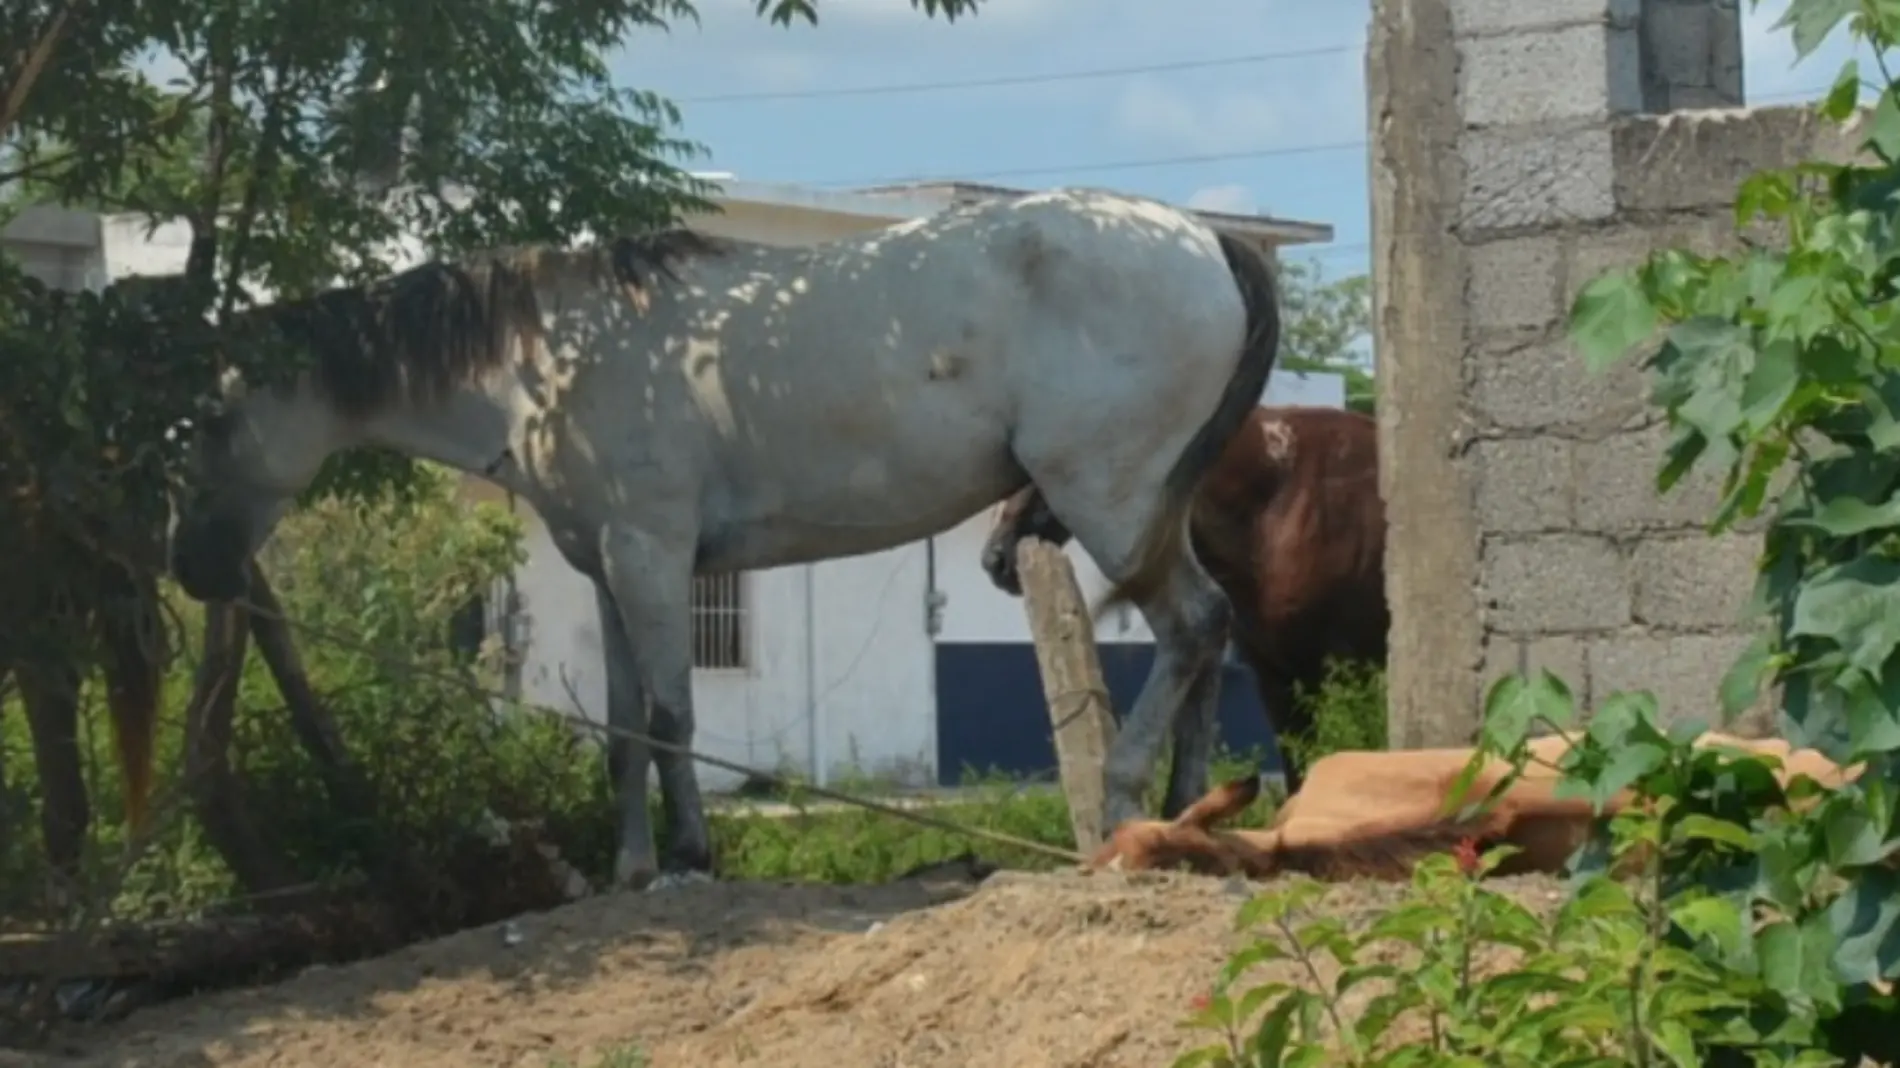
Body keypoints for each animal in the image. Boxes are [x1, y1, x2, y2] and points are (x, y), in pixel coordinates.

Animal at [167, 187, 1276, 885]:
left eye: (210, 419)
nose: (192, 567)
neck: (548, 360)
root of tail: (1206, 241)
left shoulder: (651, 559)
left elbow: (669, 716)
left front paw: (690, 858)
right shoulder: (609, 572)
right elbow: (623, 728)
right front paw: (630, 867)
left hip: (1109, 501)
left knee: (1189, 628)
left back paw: (1127, 801)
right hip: (1151, 509)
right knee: (1210, 634)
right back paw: (1187, 810)